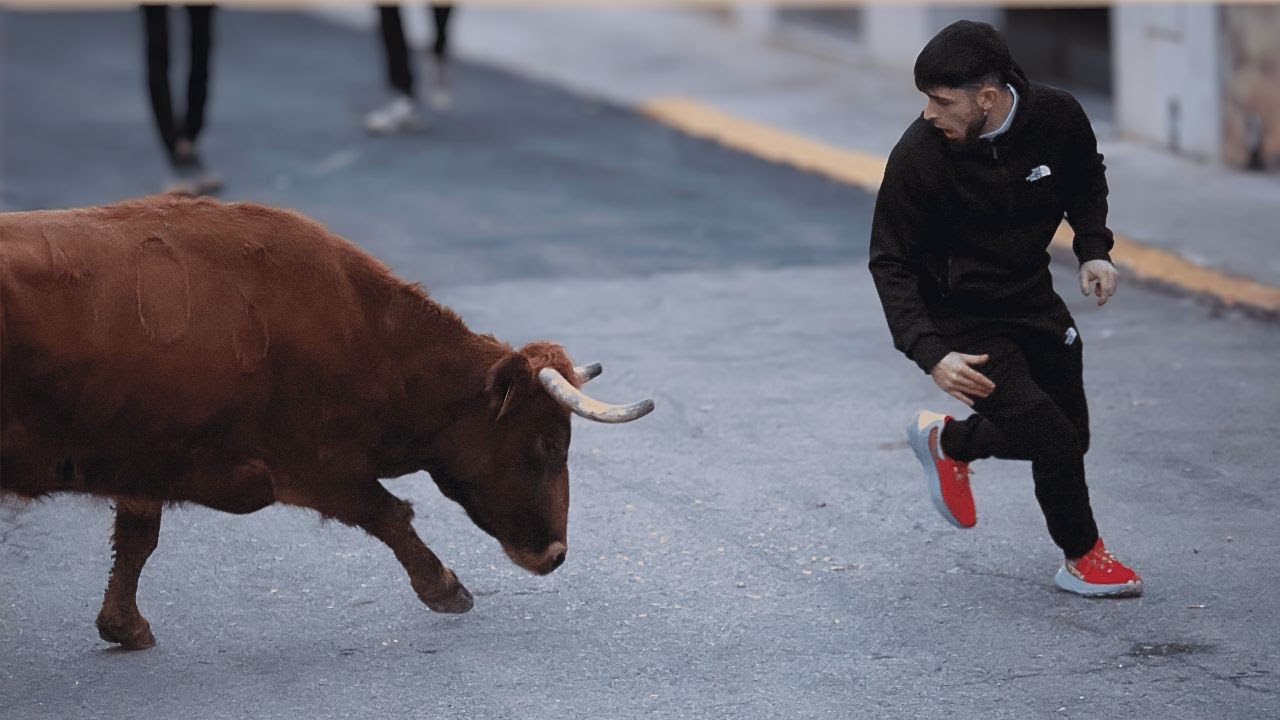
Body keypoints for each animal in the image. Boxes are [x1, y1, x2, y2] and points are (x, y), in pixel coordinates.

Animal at [0, 194, 653, 650]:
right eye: (549, 442)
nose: (555, 554)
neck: (361, 330)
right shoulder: (313, 464)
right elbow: (389, 513)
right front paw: (446, 589)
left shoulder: (148, 460)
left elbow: (137, 540)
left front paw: (123, 627)